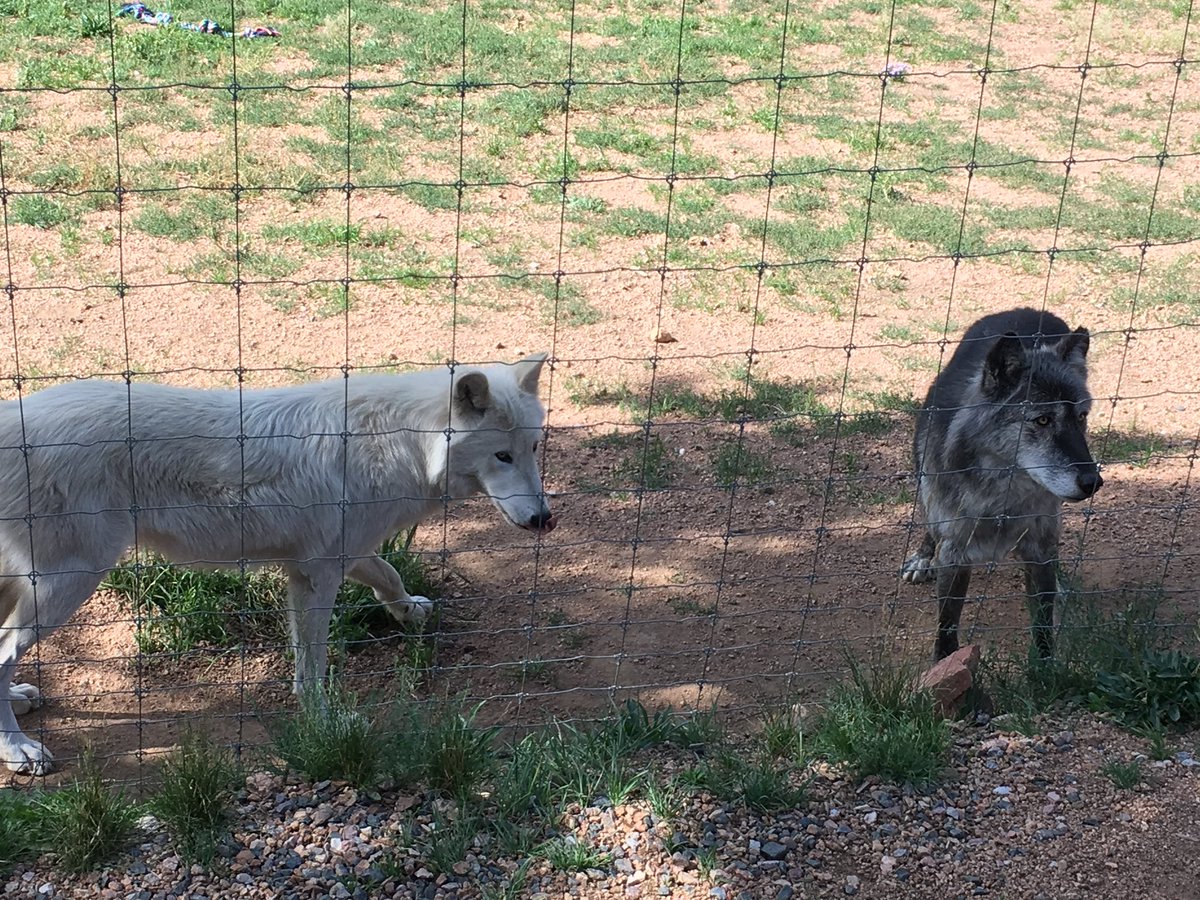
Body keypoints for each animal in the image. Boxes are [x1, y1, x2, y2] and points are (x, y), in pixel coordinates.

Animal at [0, 353, 556, 774]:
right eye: (502, 456)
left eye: (532, 447)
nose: (544, 520)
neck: (400, 443)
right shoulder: (318, 575)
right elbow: (312, 666)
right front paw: (326, 724)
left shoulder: (337, 556)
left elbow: (389, 575)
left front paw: (410, 611)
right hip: (70, 583)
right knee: (3, 652)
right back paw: (19, 750)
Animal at [902, 308, 1102, 661]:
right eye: (1042, 420)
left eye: (1081, 417)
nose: (1094, 482)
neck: (1002, 501)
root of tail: (1030, 310)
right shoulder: (954, 554)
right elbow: (946, 626)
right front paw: (943, 664)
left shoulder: (1039, 548)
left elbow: (1043, 620)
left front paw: (1045, 667)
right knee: (927, 518)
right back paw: (923, 557)